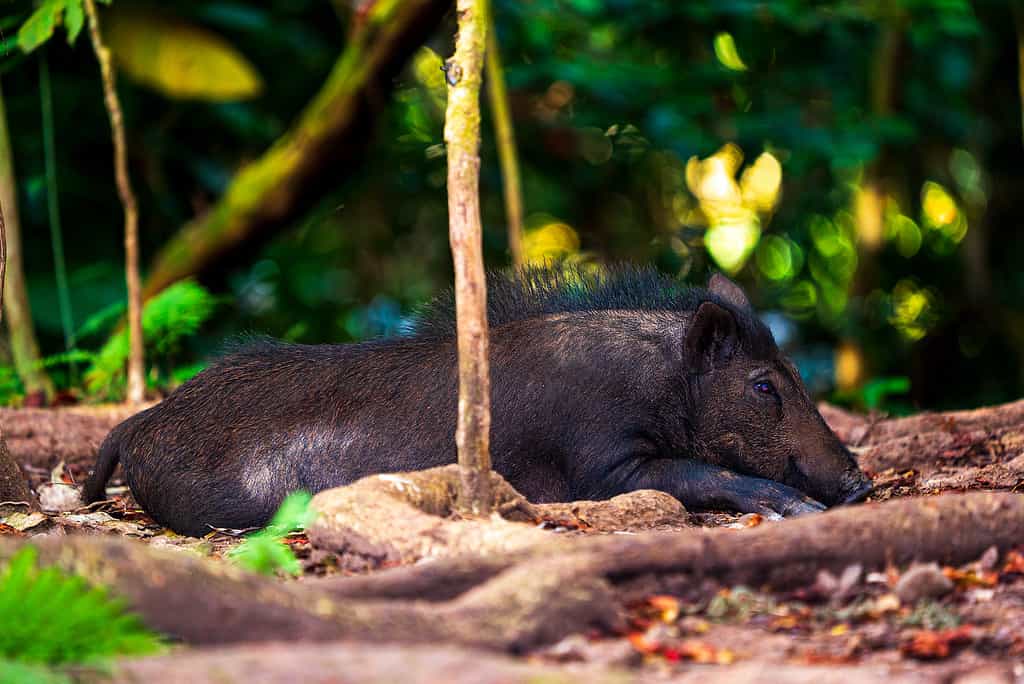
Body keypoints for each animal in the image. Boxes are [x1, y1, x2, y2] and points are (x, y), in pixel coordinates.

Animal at [83, 264, 872, 536]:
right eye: (765, 385)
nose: (861, 483)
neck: (660, 386)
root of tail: (142, 422)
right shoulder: (604, 464)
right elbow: (702, 474)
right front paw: (799, 510)